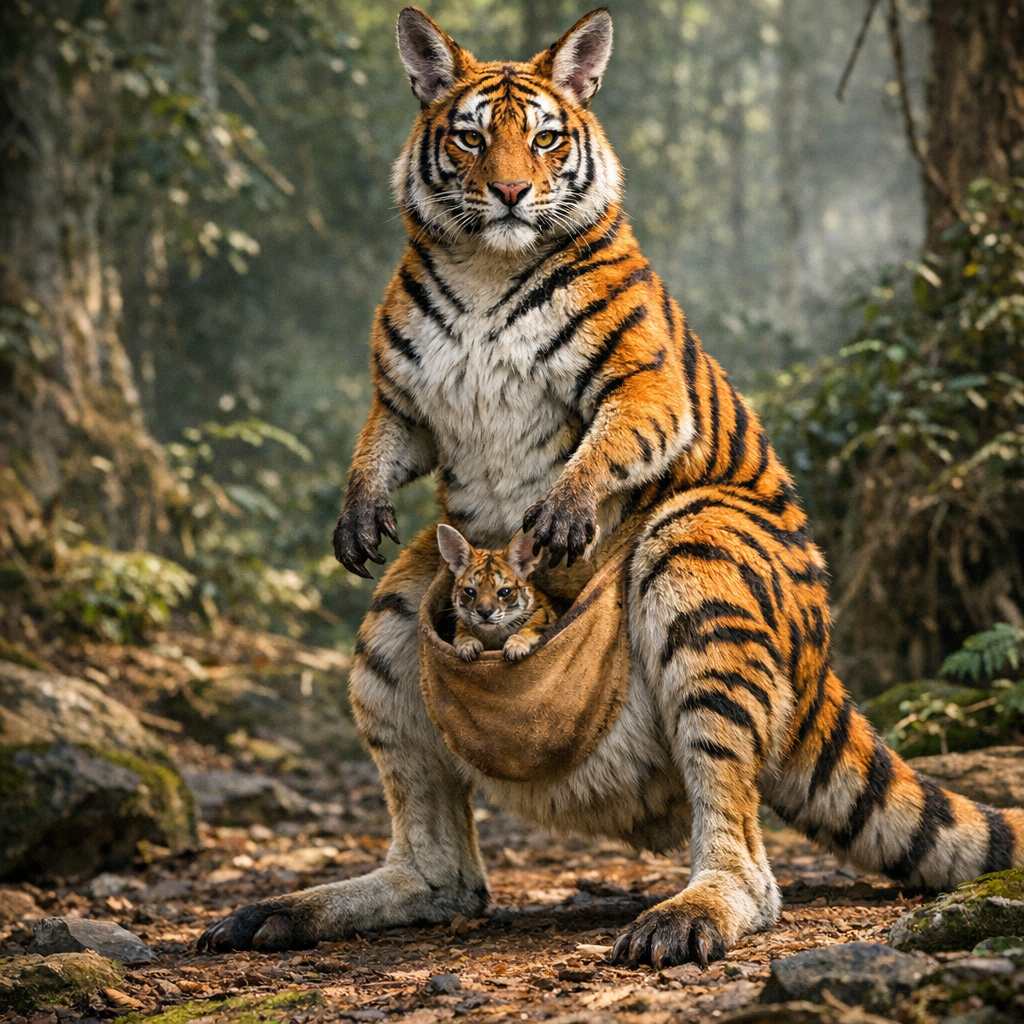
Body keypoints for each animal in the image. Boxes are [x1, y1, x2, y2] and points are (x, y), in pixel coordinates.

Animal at [198, 7, 1024, 966]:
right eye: (471, 137)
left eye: (545, 138)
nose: (511, 193)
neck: (484, 267)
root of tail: (821, 669)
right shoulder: (402, 403)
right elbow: (380, 444)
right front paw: (357, 513)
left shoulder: (645, 385)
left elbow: (607, 445)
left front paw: (558, 515)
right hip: (399, 614)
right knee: (444, 875)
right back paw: (278, 912)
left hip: (698, 551)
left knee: (743, 845)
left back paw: (687, 916)